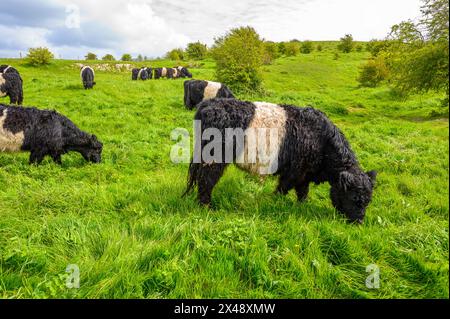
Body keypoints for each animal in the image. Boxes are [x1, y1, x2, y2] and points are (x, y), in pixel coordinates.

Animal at [183, 98, 376, 225]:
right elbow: (282, 189)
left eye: (368, 200)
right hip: (214, 160)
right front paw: (272, 202)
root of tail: (209, 104)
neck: (321, 140)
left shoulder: (304, 174)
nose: (359, 222)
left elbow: (302, 193)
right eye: (355, 198)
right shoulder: (293, 172)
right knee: (206, 181)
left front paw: (301, 206)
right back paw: (207, 207)